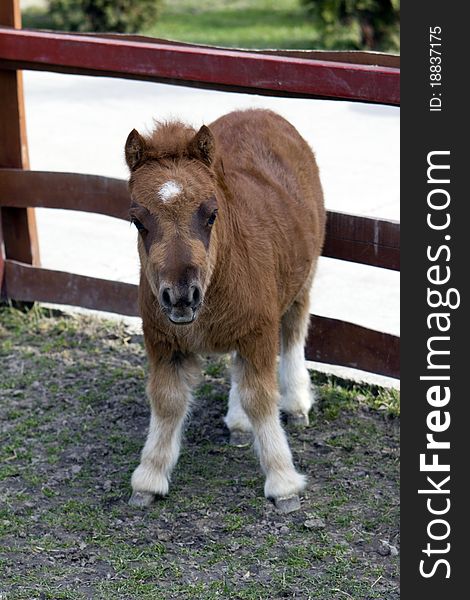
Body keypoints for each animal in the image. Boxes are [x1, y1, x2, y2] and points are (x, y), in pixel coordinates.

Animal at [123, 109, 324, 510]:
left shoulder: (259, 330)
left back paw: (296, 403)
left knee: (295, 331)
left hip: (302, 280)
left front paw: (283, 483)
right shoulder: (162, 339)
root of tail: (262, 112)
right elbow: (167, 400)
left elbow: (260, 397)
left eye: (211, 214)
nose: (182, 296)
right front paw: (149, 478)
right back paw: (239, 422)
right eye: (138, 220)